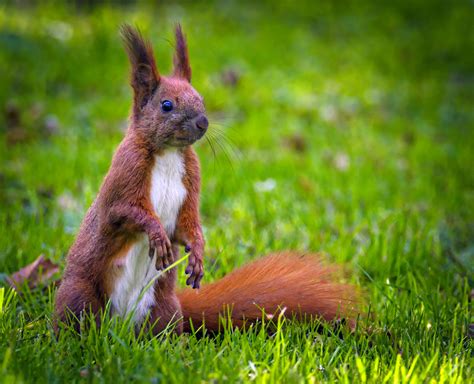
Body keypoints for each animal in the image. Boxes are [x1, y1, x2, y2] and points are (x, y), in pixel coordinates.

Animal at [54, 25, 360, 334]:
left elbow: (187, 224)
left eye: (200, 99)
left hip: (162, 307)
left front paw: (198, 254)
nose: (203, 122)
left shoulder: (191, 183)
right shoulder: (125, 175)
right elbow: (124, 211)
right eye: (166, 105)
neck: (169, 153)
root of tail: (121, 326)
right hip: (80, 296)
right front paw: (157, 233)